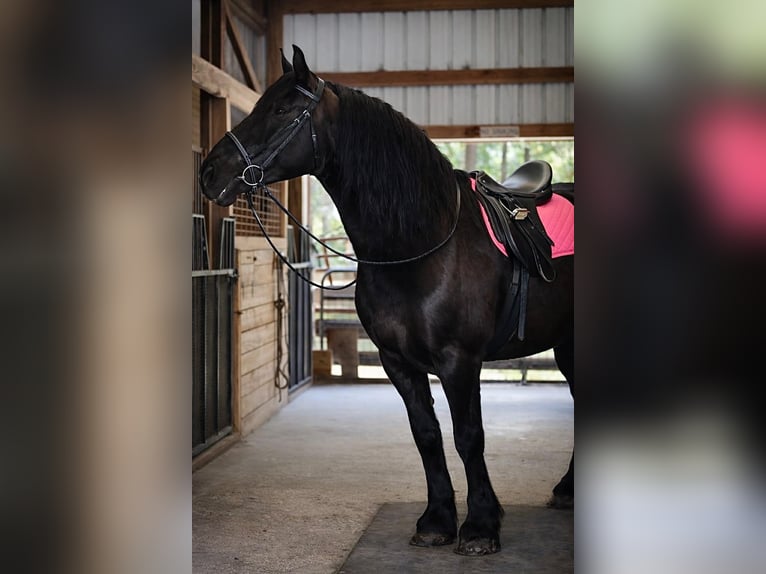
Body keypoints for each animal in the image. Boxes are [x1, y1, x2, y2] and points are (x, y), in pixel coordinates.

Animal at [198, 45, 573, 556]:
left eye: (281, 110)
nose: (208, 172)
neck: (424, 240)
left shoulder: (460, 361)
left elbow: (468, 437)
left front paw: (480, 526)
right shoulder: (397, 361)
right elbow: (427, 435)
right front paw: (437, 521)